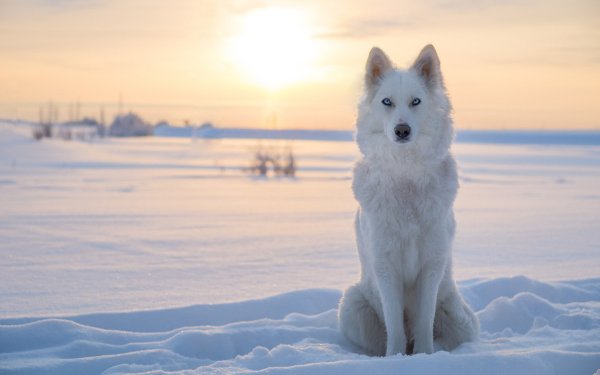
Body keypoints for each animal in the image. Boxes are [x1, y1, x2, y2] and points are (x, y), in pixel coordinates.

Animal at [340, 45, 480, 356]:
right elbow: (394, 325)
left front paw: (424, 356)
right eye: (387, 102)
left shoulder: (431, 265)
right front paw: (396, 358)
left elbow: (424, 320)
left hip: (459, 318)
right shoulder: (385, 266)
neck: (406, 176)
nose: (402, 130)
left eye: (416, 101)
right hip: (353, 307)